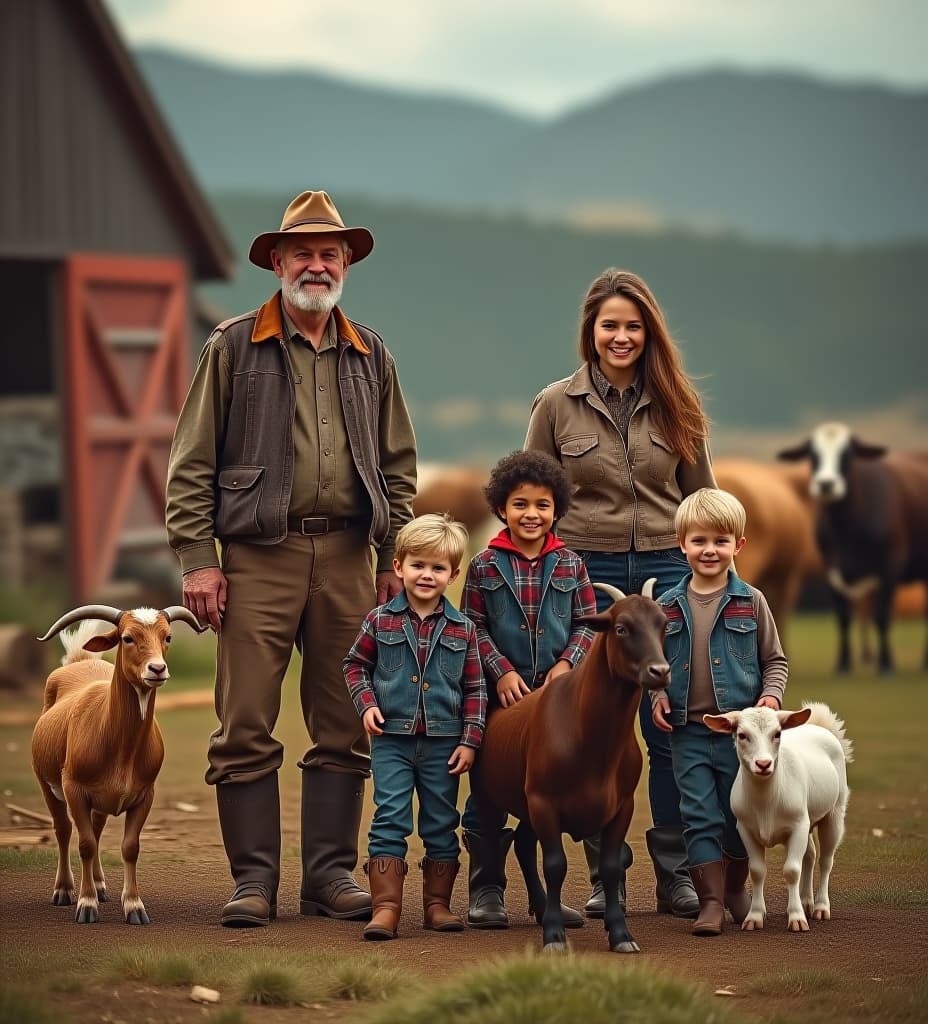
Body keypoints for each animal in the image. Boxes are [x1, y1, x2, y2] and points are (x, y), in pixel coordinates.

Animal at [30, 602, 204, 925]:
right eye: (128, 638)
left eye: (168, 636)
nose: (157, 669)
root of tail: (81, 659)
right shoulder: (73, 788)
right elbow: (84, 843)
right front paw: (86, 905)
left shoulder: (144, 794)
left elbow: (129, 847)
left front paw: (134, 906)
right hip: (46, 782)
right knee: (63, 829)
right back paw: (64, 890)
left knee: (96, 830)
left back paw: (99, 887)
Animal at [471, 585, 663, 950]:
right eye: (621, 628)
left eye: (663, 625)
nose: (660, 671)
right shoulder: (544, 802)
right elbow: (555, 864)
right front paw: (554, 935)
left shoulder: (622, 807)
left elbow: (610, 866)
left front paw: (620, 934)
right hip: (496, 795)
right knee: (495, 838)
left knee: (523, 843)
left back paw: (544, 906)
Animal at [704, 704, 848, 929]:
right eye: (742, 735)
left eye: (777, 733)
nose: (763, 763)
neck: (766, 803)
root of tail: (817, 726)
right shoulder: (745, 828)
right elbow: (756, 871)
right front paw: (755, 916)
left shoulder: (798, 826)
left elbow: (792, 870)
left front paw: (796, 918)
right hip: (808, 821)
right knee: (810, 855)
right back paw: (806, 901)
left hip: (834, 814)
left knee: (826, 860)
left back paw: (821, 907)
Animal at [774, 421, 925, 671]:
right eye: (812, 455)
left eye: (847, 455)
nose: (826, 484)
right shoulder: (830, 568)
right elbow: (843, 616)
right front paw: (843, 664)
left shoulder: (891, 566)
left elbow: (881, 615)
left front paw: (886, 664)